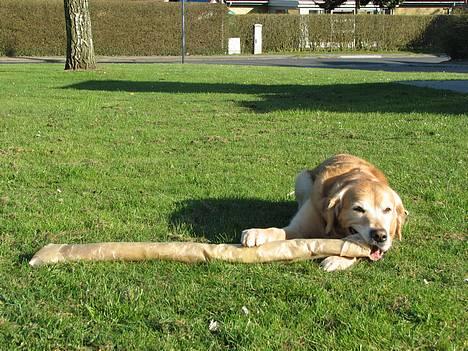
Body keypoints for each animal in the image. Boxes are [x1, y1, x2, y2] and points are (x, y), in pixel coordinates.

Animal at [241, 154, 406, 272]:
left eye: (387, 210)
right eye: (358, 209)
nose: (380, 236)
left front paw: (337, 260)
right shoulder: (299, 227)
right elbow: (277, 231)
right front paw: (256, 233)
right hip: (302, 178)